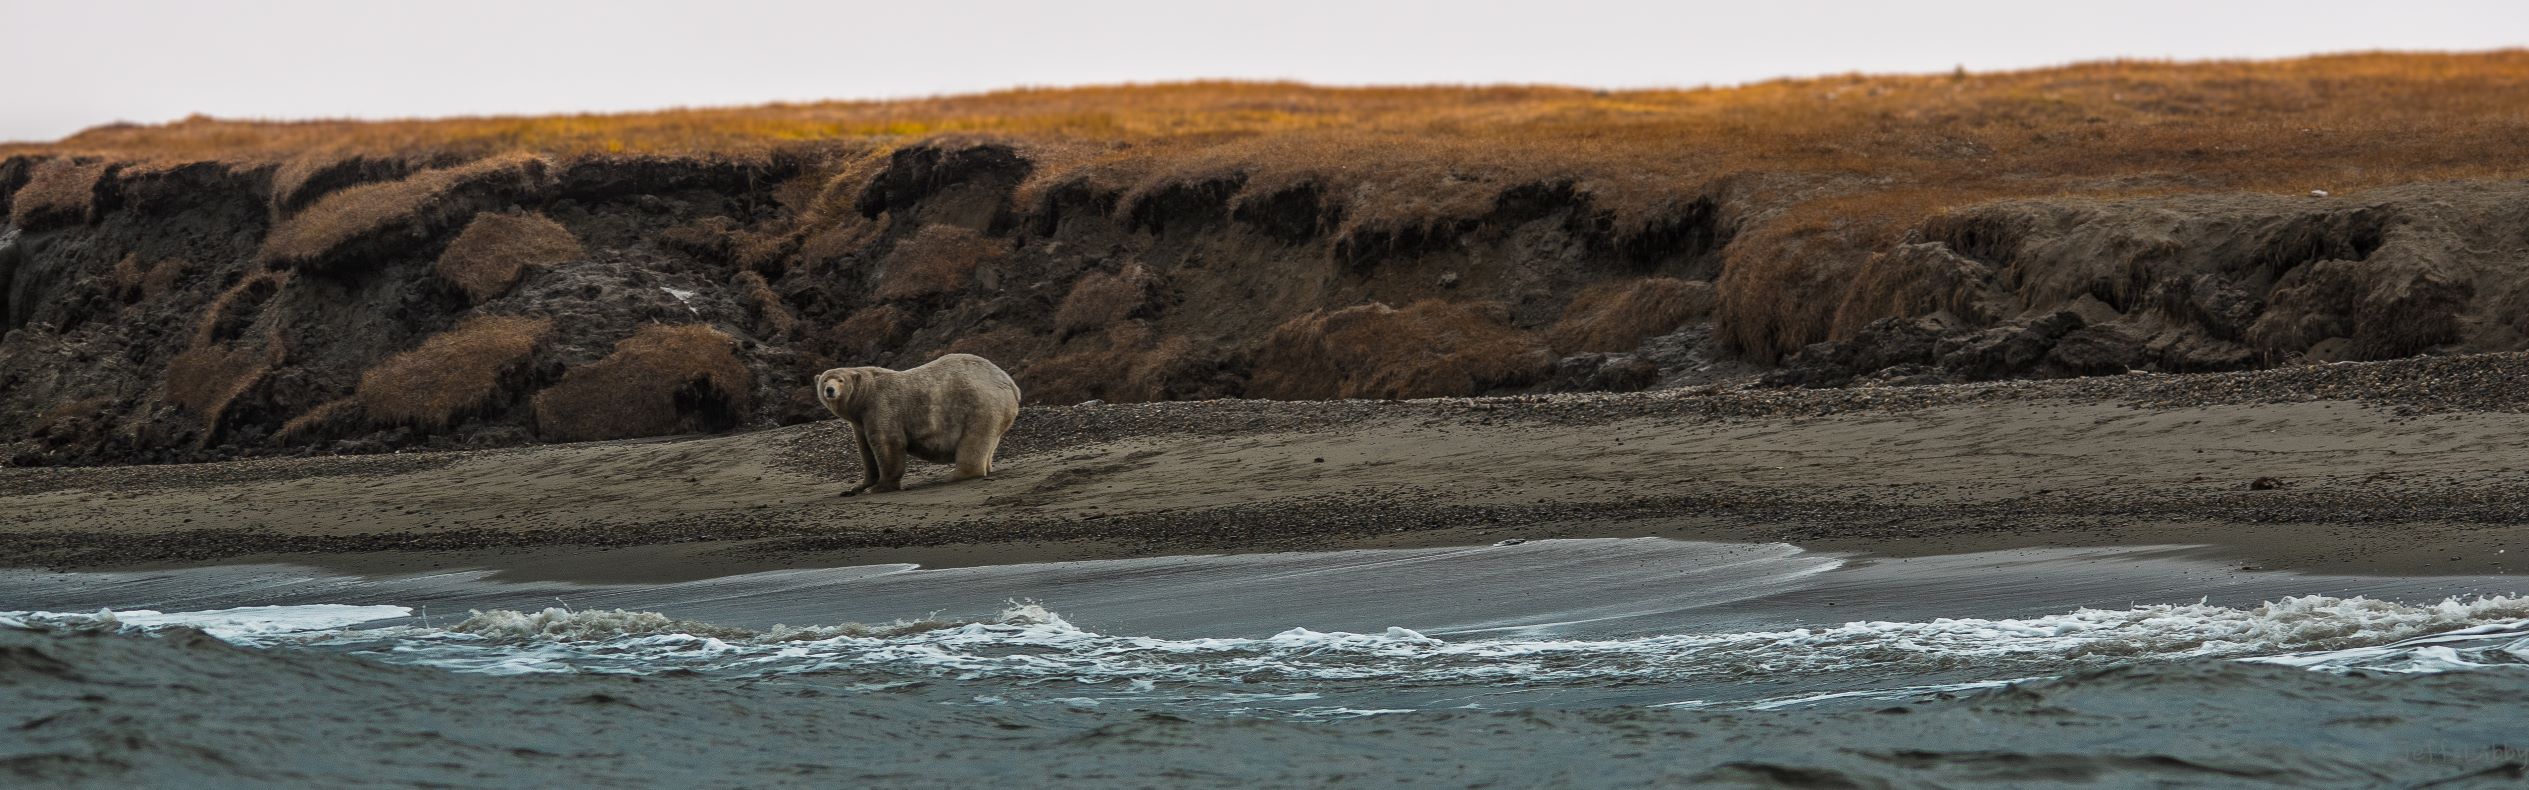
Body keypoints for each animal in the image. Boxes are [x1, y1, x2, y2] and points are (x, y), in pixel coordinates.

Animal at [814, 353, 1020, 495]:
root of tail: (1010, 383)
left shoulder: (881, 406)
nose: (830, 390)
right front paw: (858, 486)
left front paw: (881, 486)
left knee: (973, 440)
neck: (864, 396)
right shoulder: (860, 422)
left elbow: (888, 442)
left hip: (980, 404)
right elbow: (865, 450)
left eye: (840, 380)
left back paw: (955, 475)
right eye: (824, 380)